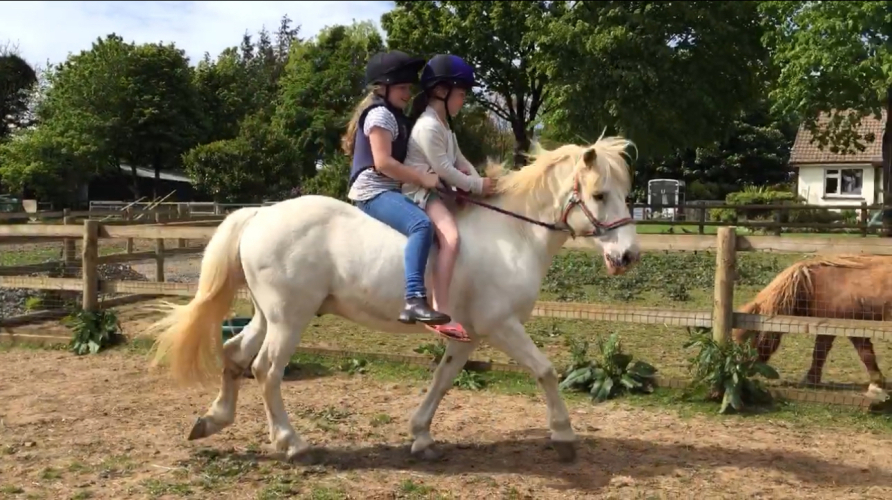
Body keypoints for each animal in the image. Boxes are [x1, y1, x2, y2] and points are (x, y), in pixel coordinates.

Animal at [145, 136, 640, 464]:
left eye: (626, 193)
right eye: (599, 194)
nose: (628, 256)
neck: (512, 234)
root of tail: (259, 215)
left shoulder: (467, 335)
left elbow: (443, 380)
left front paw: (421, 436)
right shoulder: (501, 326)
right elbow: (546, 371)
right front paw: (564, 435)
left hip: (268, 315)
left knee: (234, 354)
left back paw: (211, 421)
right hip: (290, 319)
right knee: (267, 369)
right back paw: (291, 443)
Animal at [732, 255, 891, 401]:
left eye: (750, 336)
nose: (741, 370)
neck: (814, 286)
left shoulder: (852, 328)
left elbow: (864, 354)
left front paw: (876, 384)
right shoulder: (827, 326)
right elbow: (820, 353)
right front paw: (811, 379)